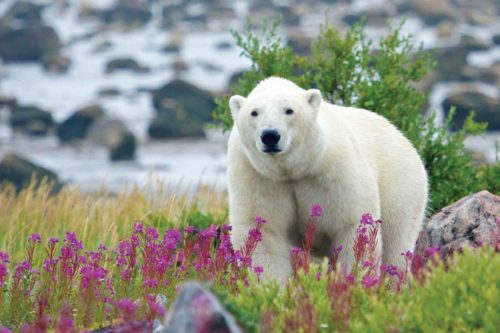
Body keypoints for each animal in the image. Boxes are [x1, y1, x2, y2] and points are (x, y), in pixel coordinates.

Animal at [227, 76, 426, 280]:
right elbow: (264, 232)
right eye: (254, 112)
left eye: (289, 110)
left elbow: (352, 225)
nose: (270, 135)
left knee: (396, 239)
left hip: (400, 182)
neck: (292, 170)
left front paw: (353, 278)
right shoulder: (258, 177)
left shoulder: (333, 170)